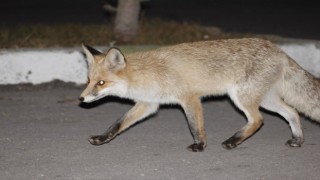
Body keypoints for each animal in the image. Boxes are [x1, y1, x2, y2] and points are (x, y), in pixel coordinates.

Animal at [78, 38, 320, 152]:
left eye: (101, 83)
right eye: (88, 81)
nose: (81, 99)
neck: (148, 74)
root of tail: (279, 50)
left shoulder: (190, 99)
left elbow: (195, 127)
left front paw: (200, 146)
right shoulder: (148, 104)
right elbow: (118, 124)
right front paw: (102, 138)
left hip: (241, 97)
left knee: (258, 120)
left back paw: (232, 141)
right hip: (266, 99)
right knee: (292, 112)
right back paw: (298, 140)